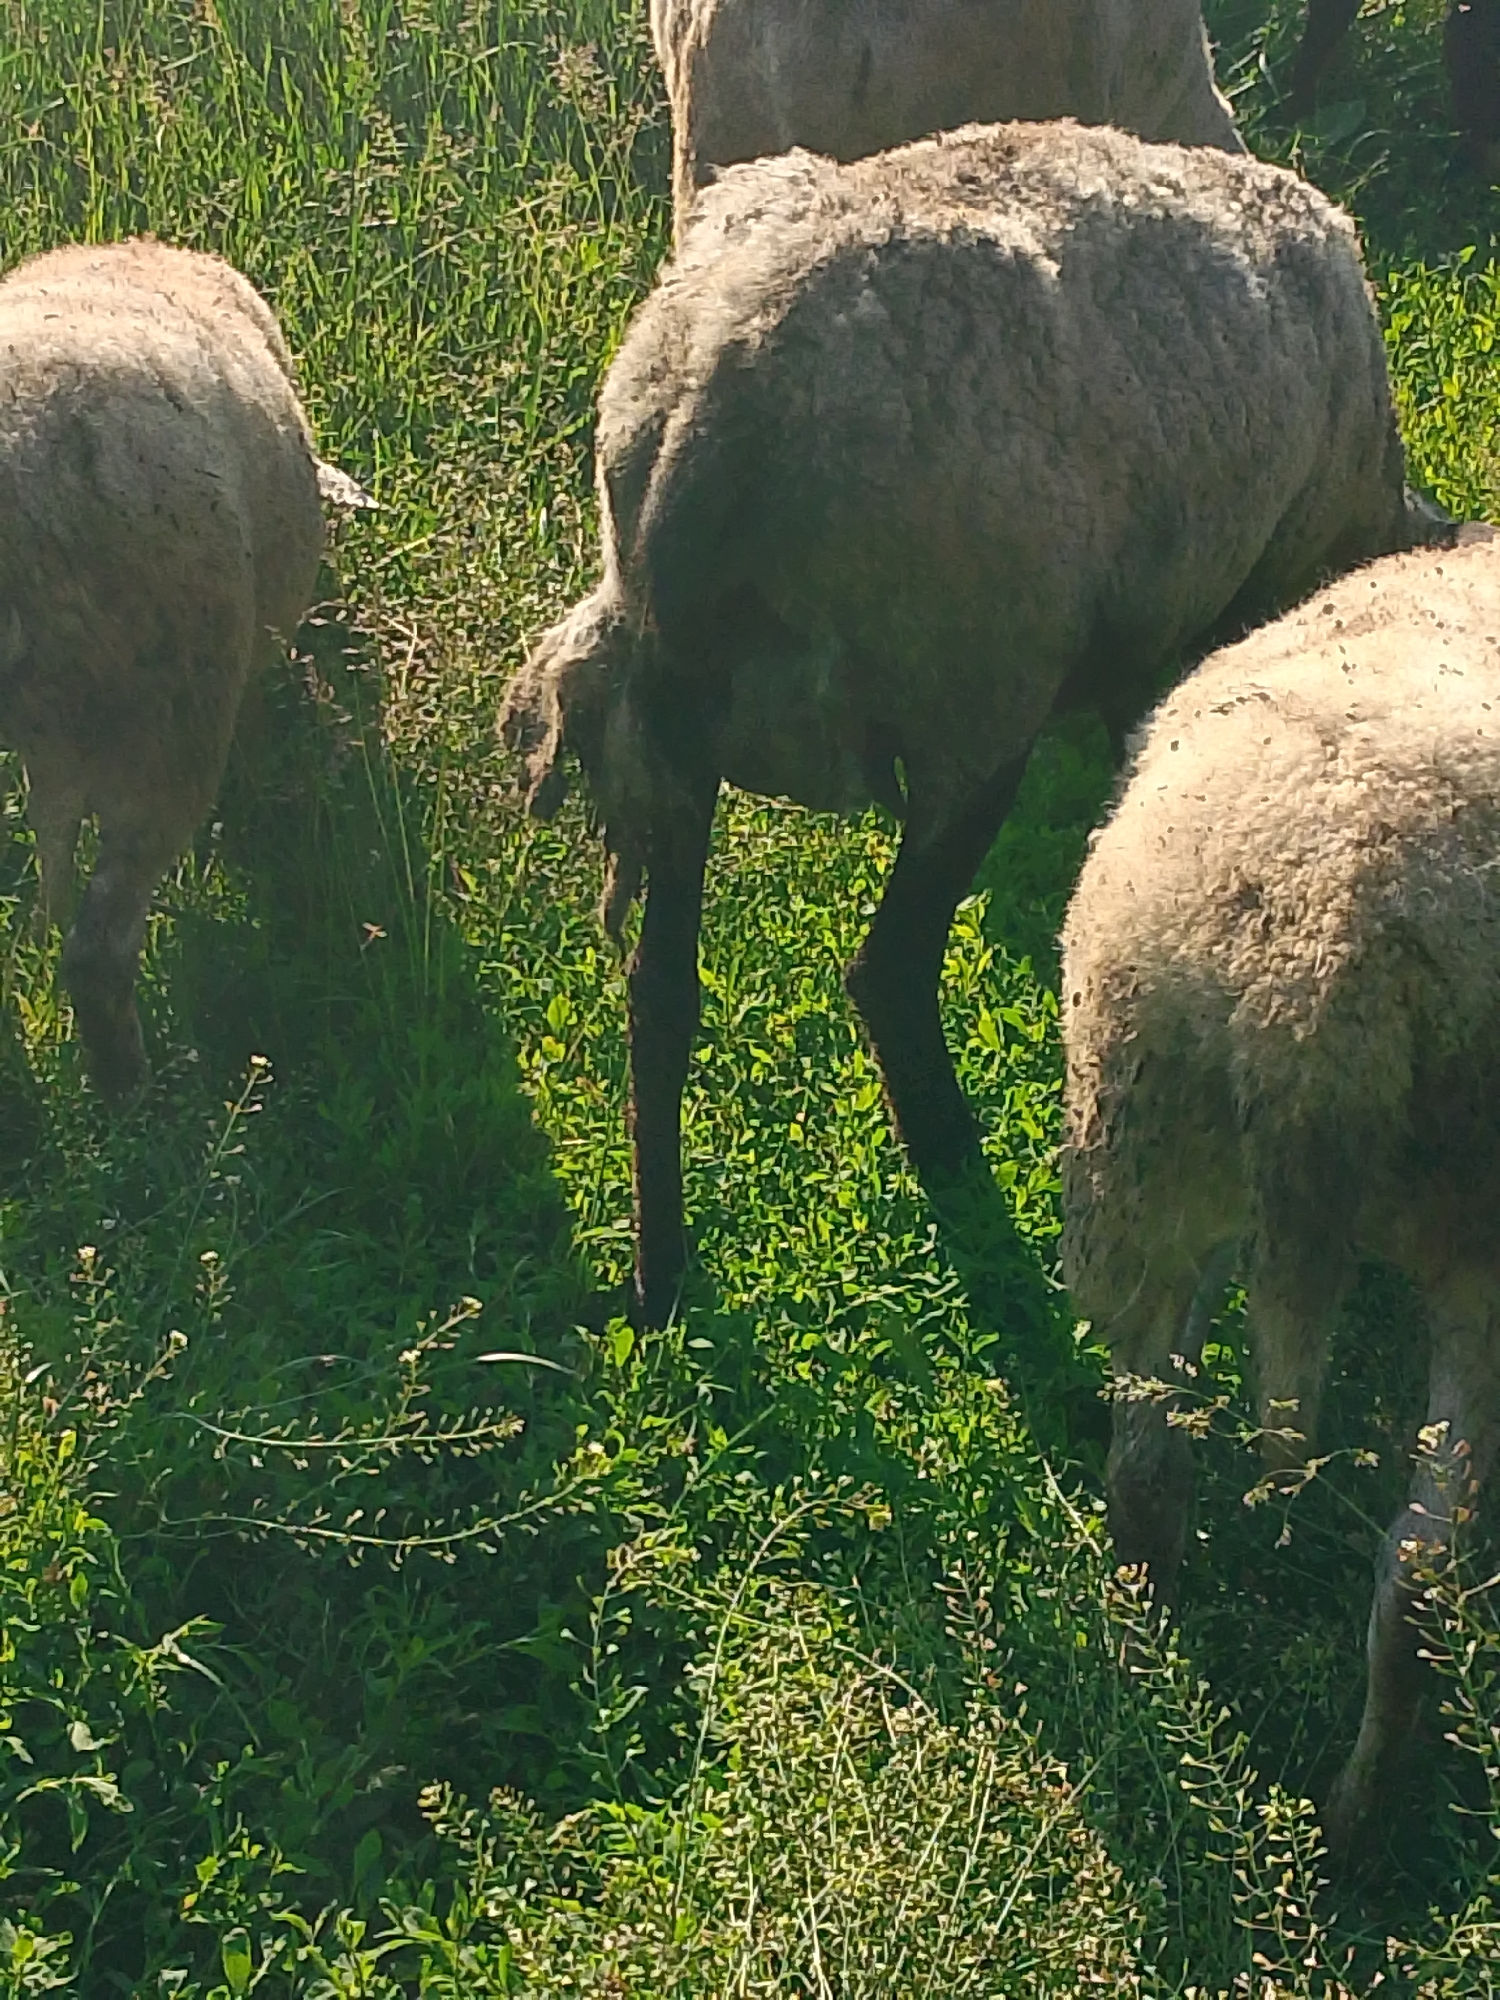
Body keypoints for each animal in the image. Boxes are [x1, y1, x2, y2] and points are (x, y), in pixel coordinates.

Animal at [502, 117, 1428, 1329]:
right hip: (973, 695)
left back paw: (662, 1277)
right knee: (886, 971)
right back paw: (957, 1173)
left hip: (679, 728)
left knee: (660, 997)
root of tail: (705, 404)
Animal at [1060, 527, 1500, 1855]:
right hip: (1474, 1233)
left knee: (1159, 1470)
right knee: (1420, 1564)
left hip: (1153, 1135)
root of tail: (1323, 962)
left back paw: (1164, 1674)